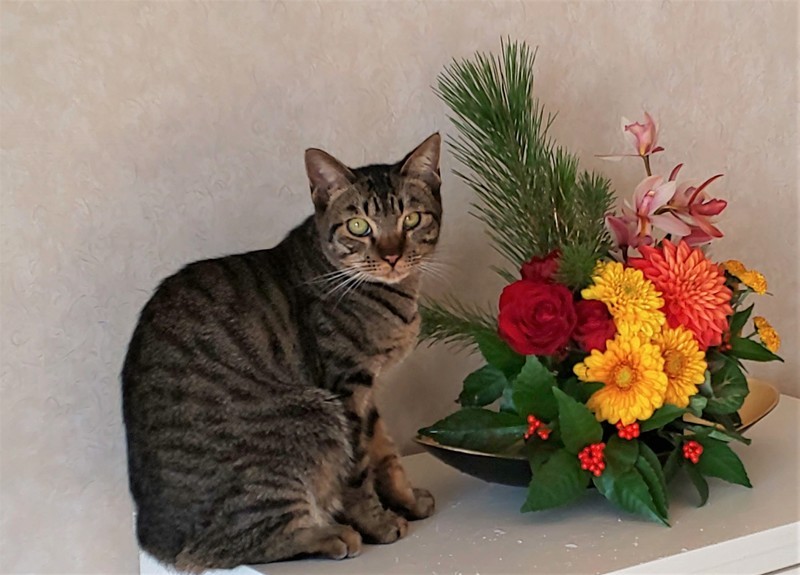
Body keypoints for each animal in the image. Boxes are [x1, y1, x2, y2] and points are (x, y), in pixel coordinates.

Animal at [122, 133, 442, 572]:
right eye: (359, 226)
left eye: (411, 219)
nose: (392, 255)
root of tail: (153, 541)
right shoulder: (346, 387)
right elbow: (358, 472)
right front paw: (377, 522)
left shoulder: (367, 394)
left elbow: (386, 453)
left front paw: (406, 500)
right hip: (310, 416)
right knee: (234, 542)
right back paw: (332, 534)